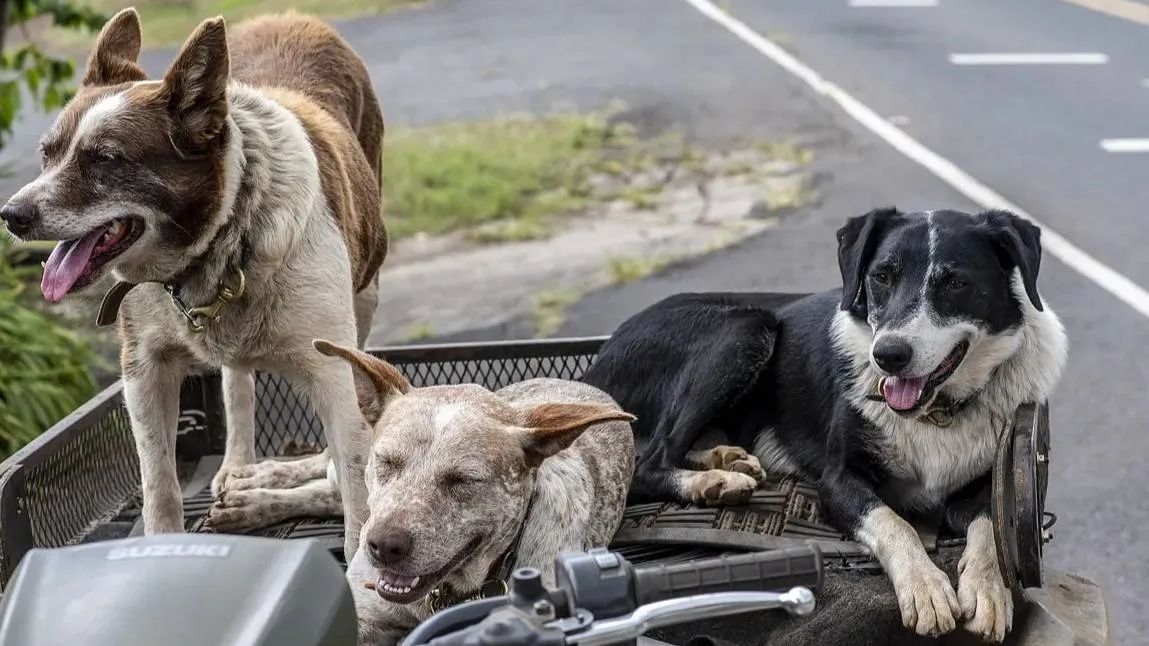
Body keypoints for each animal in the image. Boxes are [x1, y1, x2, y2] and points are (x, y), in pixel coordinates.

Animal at [0, 7, 388, 554]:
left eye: (105, 159)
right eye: (47, 153)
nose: (11, 216)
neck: (217, 244)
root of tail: (291, 16)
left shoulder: (334, 372)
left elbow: (357, 493)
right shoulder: (144, 369)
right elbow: (159, 486)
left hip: (367, 292)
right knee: (236, 383)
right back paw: (240, 468)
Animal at [206, 340, 638, 639]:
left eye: (462, 480)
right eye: (387, 462)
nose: (383, 546)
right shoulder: (362, 615)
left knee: (328, 494)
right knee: (325, 471)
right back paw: (250, 483)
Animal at [579, 209, 1070, 639]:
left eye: (955, 283)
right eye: (881, 277)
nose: (887, 356)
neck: (936, 410)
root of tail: (595, 367)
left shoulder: (991, 480)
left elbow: (990, 525)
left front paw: (988, 590)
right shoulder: (836, 481)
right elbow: (894, 522)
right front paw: (925, 588)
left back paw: (726, 459)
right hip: (745, 328)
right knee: (647, 461)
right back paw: (713, 482)